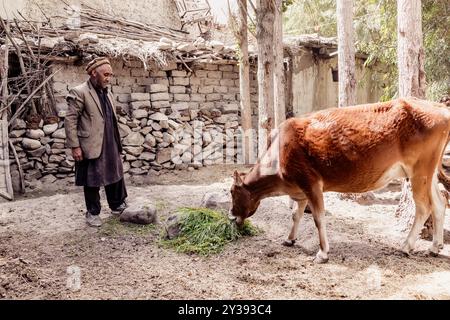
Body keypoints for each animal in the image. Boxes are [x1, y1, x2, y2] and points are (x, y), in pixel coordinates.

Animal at [230, 97, 450, 262]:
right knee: (439, 203)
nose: (231, 217)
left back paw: (406, 246)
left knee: (424, 207)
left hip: (419, 171)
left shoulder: (311, 183)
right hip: (427, 173)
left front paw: (322, 253)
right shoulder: (300, 189)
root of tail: (440, 108)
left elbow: (318, 218)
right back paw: (434, 247)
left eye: (232, 192)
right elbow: (295, 215)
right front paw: (289, 239)